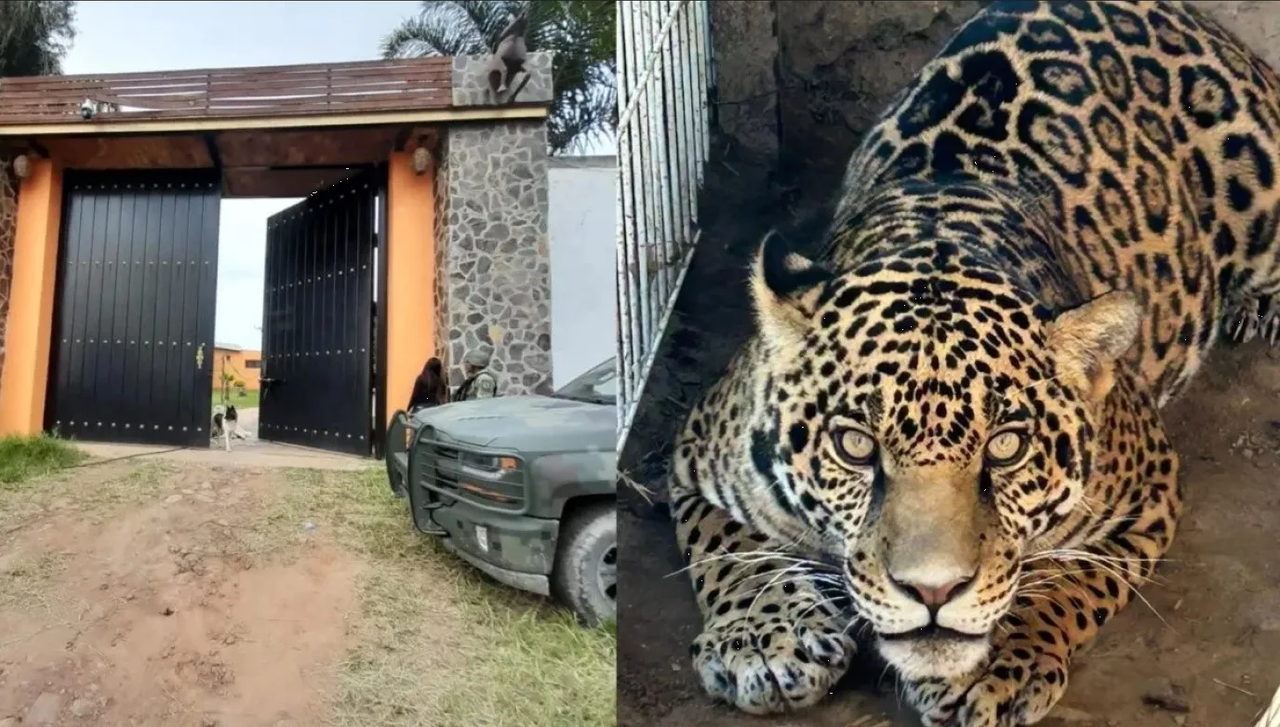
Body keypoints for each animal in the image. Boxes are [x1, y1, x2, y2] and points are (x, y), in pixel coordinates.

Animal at [666, 2, 1280, 725]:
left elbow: (1066, 575)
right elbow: (735, 549)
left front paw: (993, 667)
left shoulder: (1146, 490)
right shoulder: (698, 457)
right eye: (854, 445)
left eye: (1007, 446)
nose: (933, 591)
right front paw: (766, 638)